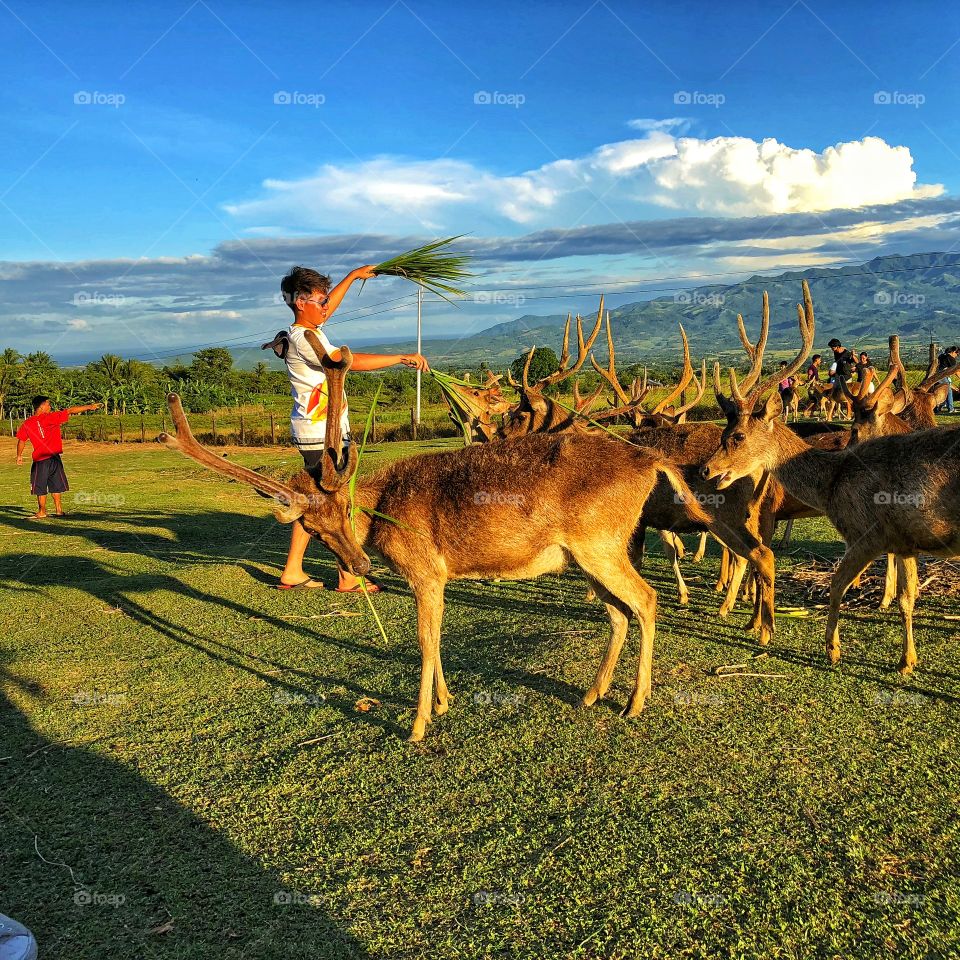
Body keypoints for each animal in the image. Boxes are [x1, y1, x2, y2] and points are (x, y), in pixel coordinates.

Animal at [158, 346, 710, 742]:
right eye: (311, 530)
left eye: (345, 511)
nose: (360, 563)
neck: (384, 512)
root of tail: (652, 462)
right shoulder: (433, 576)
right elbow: (437, 637)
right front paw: (444, 702)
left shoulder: (426, 569)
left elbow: (425, 640)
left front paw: (418, 723)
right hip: (589, 556)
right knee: (618, 612)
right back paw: (593, 694)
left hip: (601, 545)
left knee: (646, 600)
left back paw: (636, 701)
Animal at [701, 283, 960, 675]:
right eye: (722, 433)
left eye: (738, 436)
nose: (707, 469)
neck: (830, 484)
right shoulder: (904, 541)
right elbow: (908, 597)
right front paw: (907, 660)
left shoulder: (866, 533)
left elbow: (838, 585)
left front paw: (832, 649)